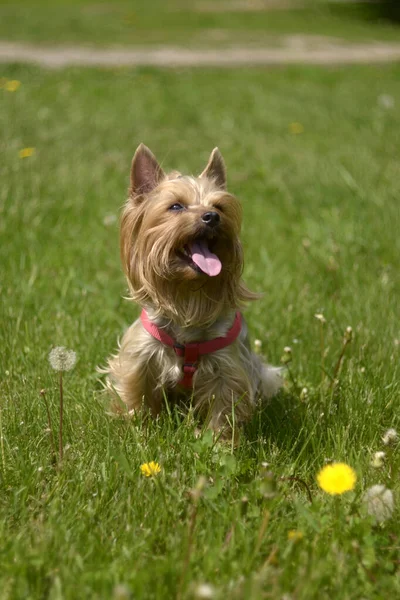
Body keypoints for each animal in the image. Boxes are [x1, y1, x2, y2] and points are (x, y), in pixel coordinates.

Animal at [104, 145, 282, 436]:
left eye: (219, 206)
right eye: (176, 206)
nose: (212, 217)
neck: (188, 295)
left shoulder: (227, 367)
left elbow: (224, 406)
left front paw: (218, 441)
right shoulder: (140, 358)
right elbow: (137, 394)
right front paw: (140, 430)